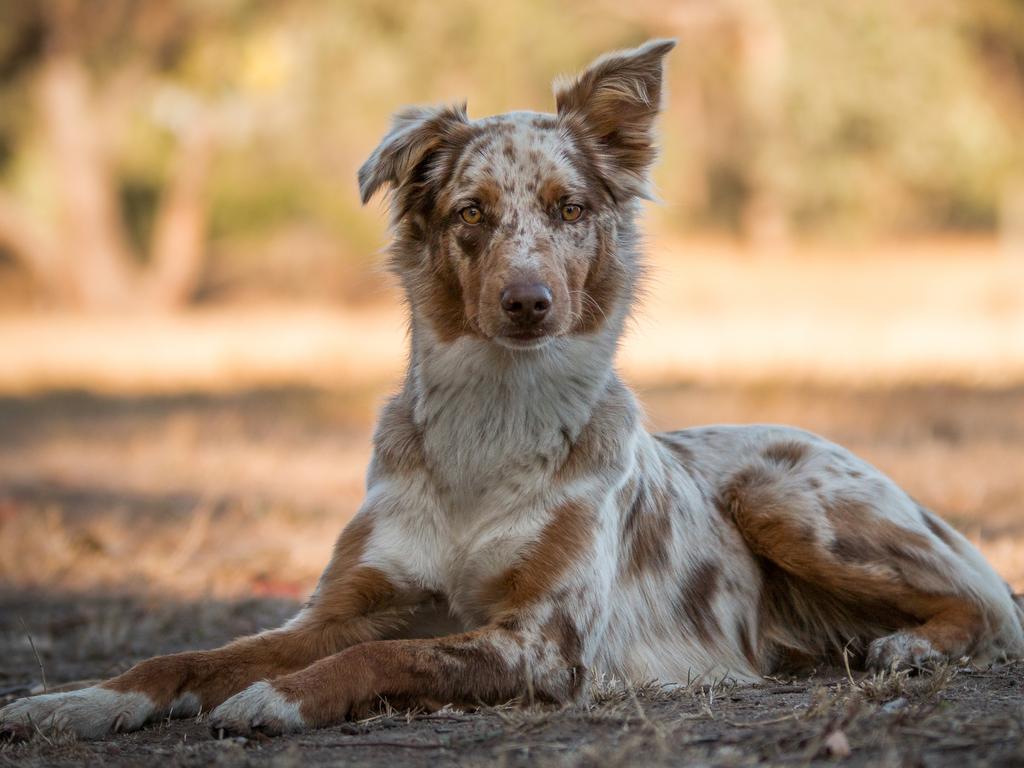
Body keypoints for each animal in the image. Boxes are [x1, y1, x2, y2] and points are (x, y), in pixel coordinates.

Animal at [2, 39, 1024, 741]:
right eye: (471, 213)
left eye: (570, 209)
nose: (527, 301)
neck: (492, 421)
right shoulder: (342, 603)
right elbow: (199, 652)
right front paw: (82, 698)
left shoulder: (542, 639)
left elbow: (392, 652)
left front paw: (280, 698)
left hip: (782, 495)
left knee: (987, 608)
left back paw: (906, 645)